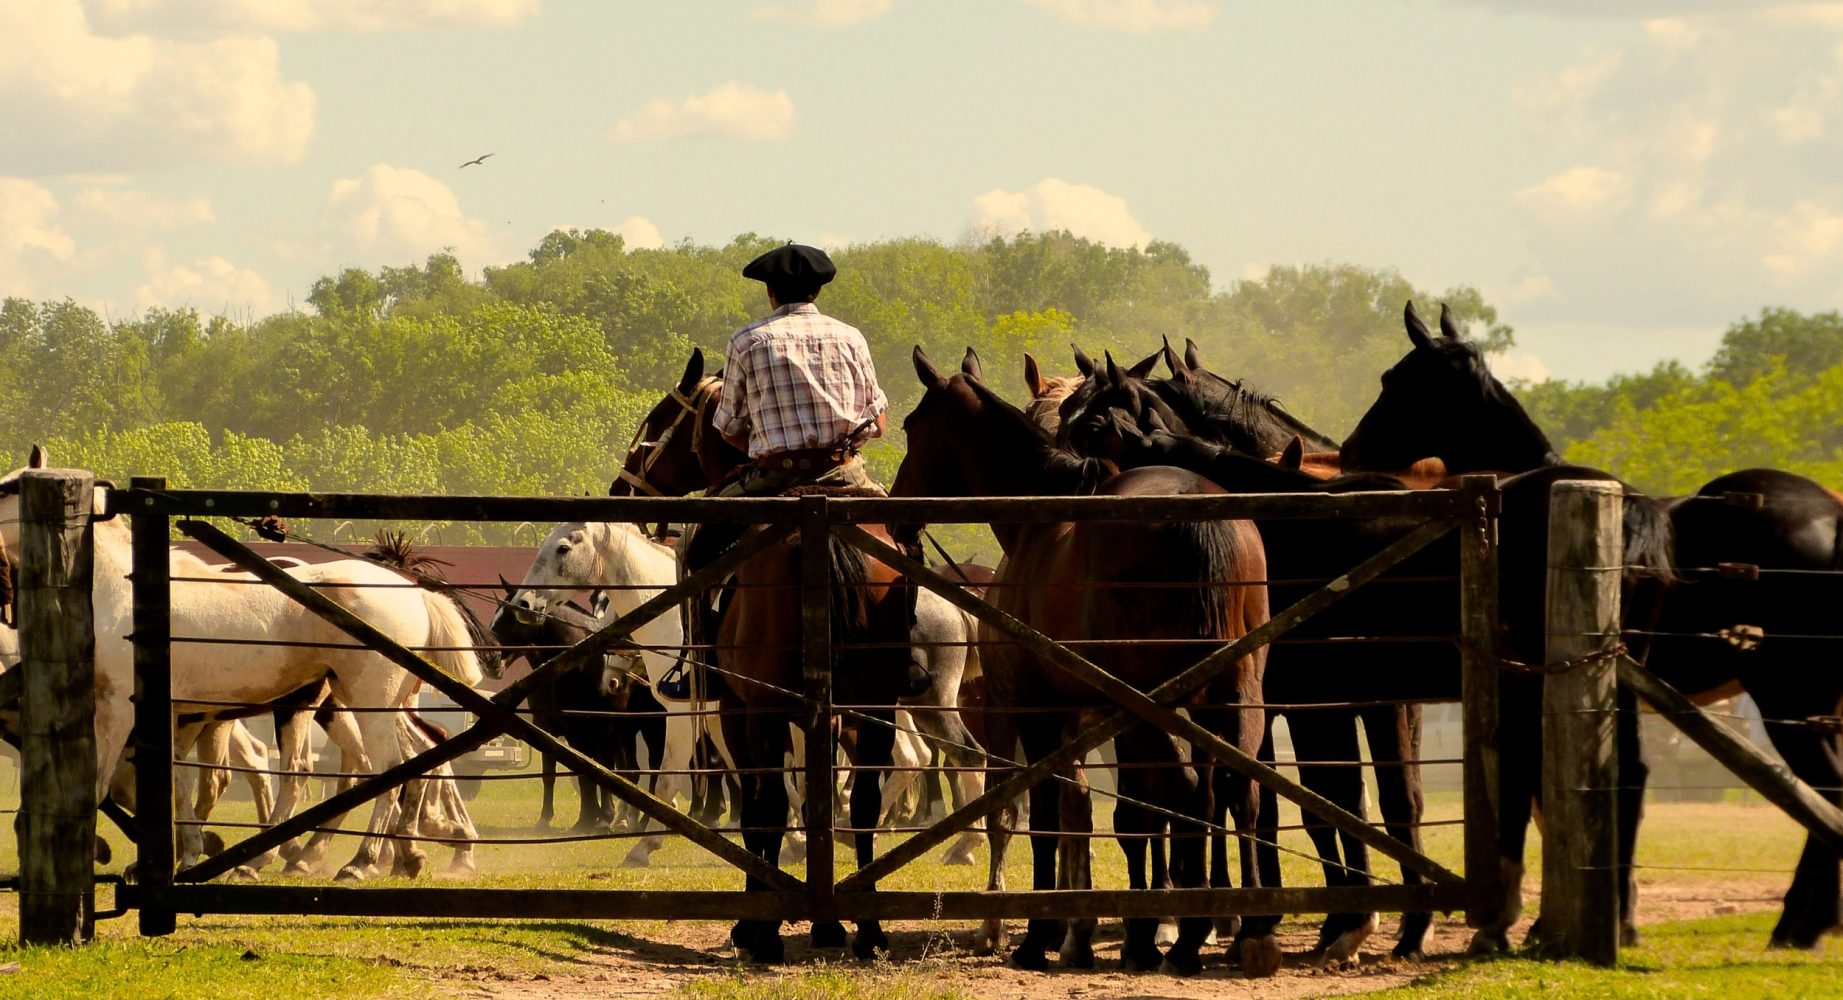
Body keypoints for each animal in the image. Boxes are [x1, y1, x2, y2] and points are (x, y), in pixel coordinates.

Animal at [0, 449, 482, 880]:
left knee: (385, 769)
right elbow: (178, 786)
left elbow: (103, 785)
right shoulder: (176, 717)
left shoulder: (119, 708)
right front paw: (183, 855)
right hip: (363, 701)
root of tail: (413, 589)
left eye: (10, 487)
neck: (122, 594)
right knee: (406, 760)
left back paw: (358, 862)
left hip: (365, 704)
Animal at [895, 346, 1282, 979]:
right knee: (1233, 789)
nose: (898, 517)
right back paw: (1248, 929)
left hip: (1153, 705)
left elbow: (1048, 815)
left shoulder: (1034, 710)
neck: (1039, 521)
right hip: (1233, 692)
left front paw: (1039, 936)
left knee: (1182, 792)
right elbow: (1097, 814)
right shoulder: (1084, 717)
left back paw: (1181, 936)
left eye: (910, 427)